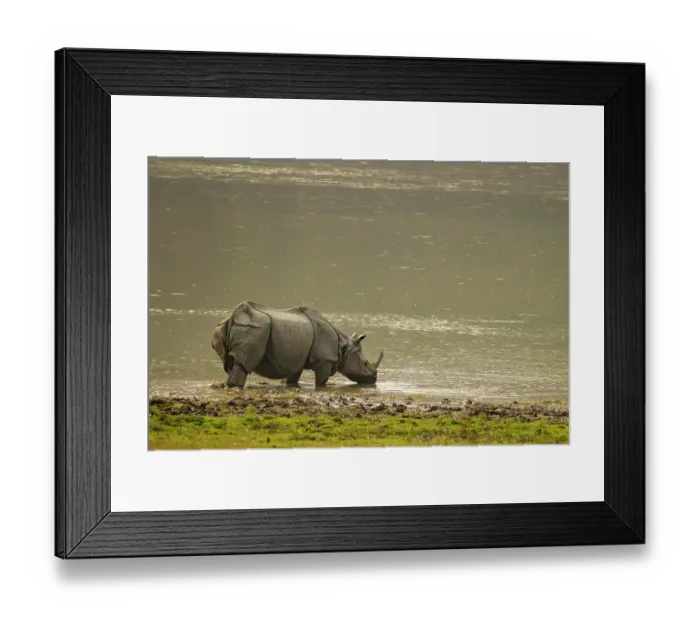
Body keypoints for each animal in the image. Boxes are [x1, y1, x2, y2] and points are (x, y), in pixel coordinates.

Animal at [211, 301, 384, 388]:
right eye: (365, 363)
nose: (374, 378)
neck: (343, 347)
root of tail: (234, 316)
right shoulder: (324, 360)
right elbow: (321, 382)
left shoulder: (295, 360)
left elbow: (293, 378)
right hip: (255, 329)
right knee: (244, 364)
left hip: (227, 326)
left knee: (232, 364)